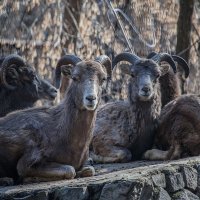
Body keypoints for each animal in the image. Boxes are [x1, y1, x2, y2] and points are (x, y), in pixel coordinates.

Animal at [0, 54, 111, 182]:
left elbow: (89, 170)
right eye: (75, 78)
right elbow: (70, 170)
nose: (91, 98)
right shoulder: (27, 164)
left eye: (103, 78)